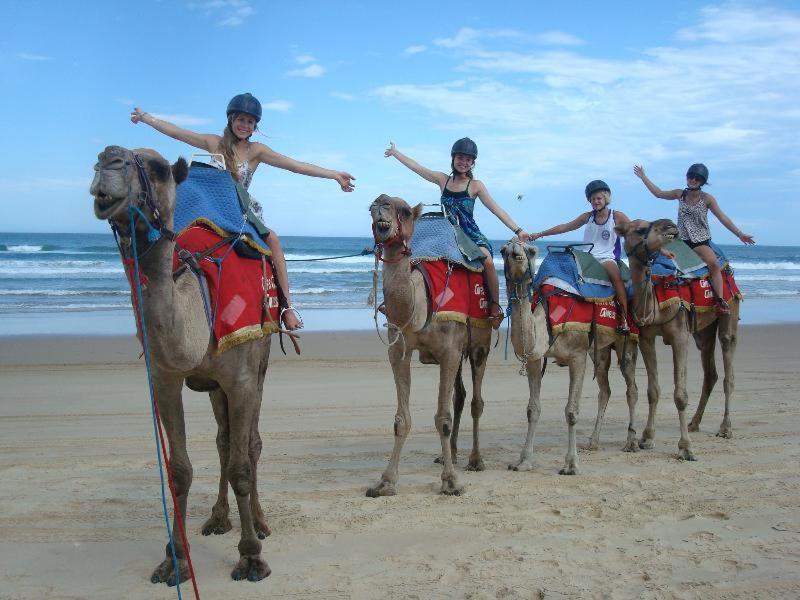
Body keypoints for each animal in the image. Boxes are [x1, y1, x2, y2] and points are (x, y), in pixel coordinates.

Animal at [90, 145, 272, 580]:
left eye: (157, 169)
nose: (108, 159)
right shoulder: (165, 379)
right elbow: (180, 471)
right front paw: (175, 558)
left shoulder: (241, 380)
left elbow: (242, 464)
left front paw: (251, 556)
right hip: (214, 387)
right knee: (224, 440)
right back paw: (219, 518)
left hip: (260, 363)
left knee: (250, 444)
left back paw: (259, 520)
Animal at [366, 195, 490, 494]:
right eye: (370, 207)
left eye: (404, 211)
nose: (380, 204)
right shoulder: (398, 350)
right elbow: (401, 419)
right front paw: (385, 481)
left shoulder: (450, 351)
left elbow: (442, 419)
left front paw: (451, 482)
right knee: (460, 396)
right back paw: (451, 455)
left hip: (480, 345)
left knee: (476, 401)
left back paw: (475, 459)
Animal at [504, 239, 640, 474]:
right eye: (503, 251)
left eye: (531, 250)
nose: (515, 251)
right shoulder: (535, 358)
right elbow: (533, 409)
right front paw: (524, 461)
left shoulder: (577, 355)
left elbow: (571, 411)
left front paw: (571, 464)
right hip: (600, 350)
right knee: (605, 389)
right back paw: (593, 442)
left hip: (627, 341)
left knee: (631, 388)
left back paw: (631, 442)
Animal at [616, 218, 740, 448]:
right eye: (639, 229)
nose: (669, 226)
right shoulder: (646, 338)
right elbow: (653, 391)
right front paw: (647, 436)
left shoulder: (680, 336)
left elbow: (680, 394)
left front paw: (685, 447)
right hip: (704, 330)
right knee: (710, 373)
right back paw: (694, 423)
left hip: (730, 306)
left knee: (728, 370)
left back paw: (725, 428)